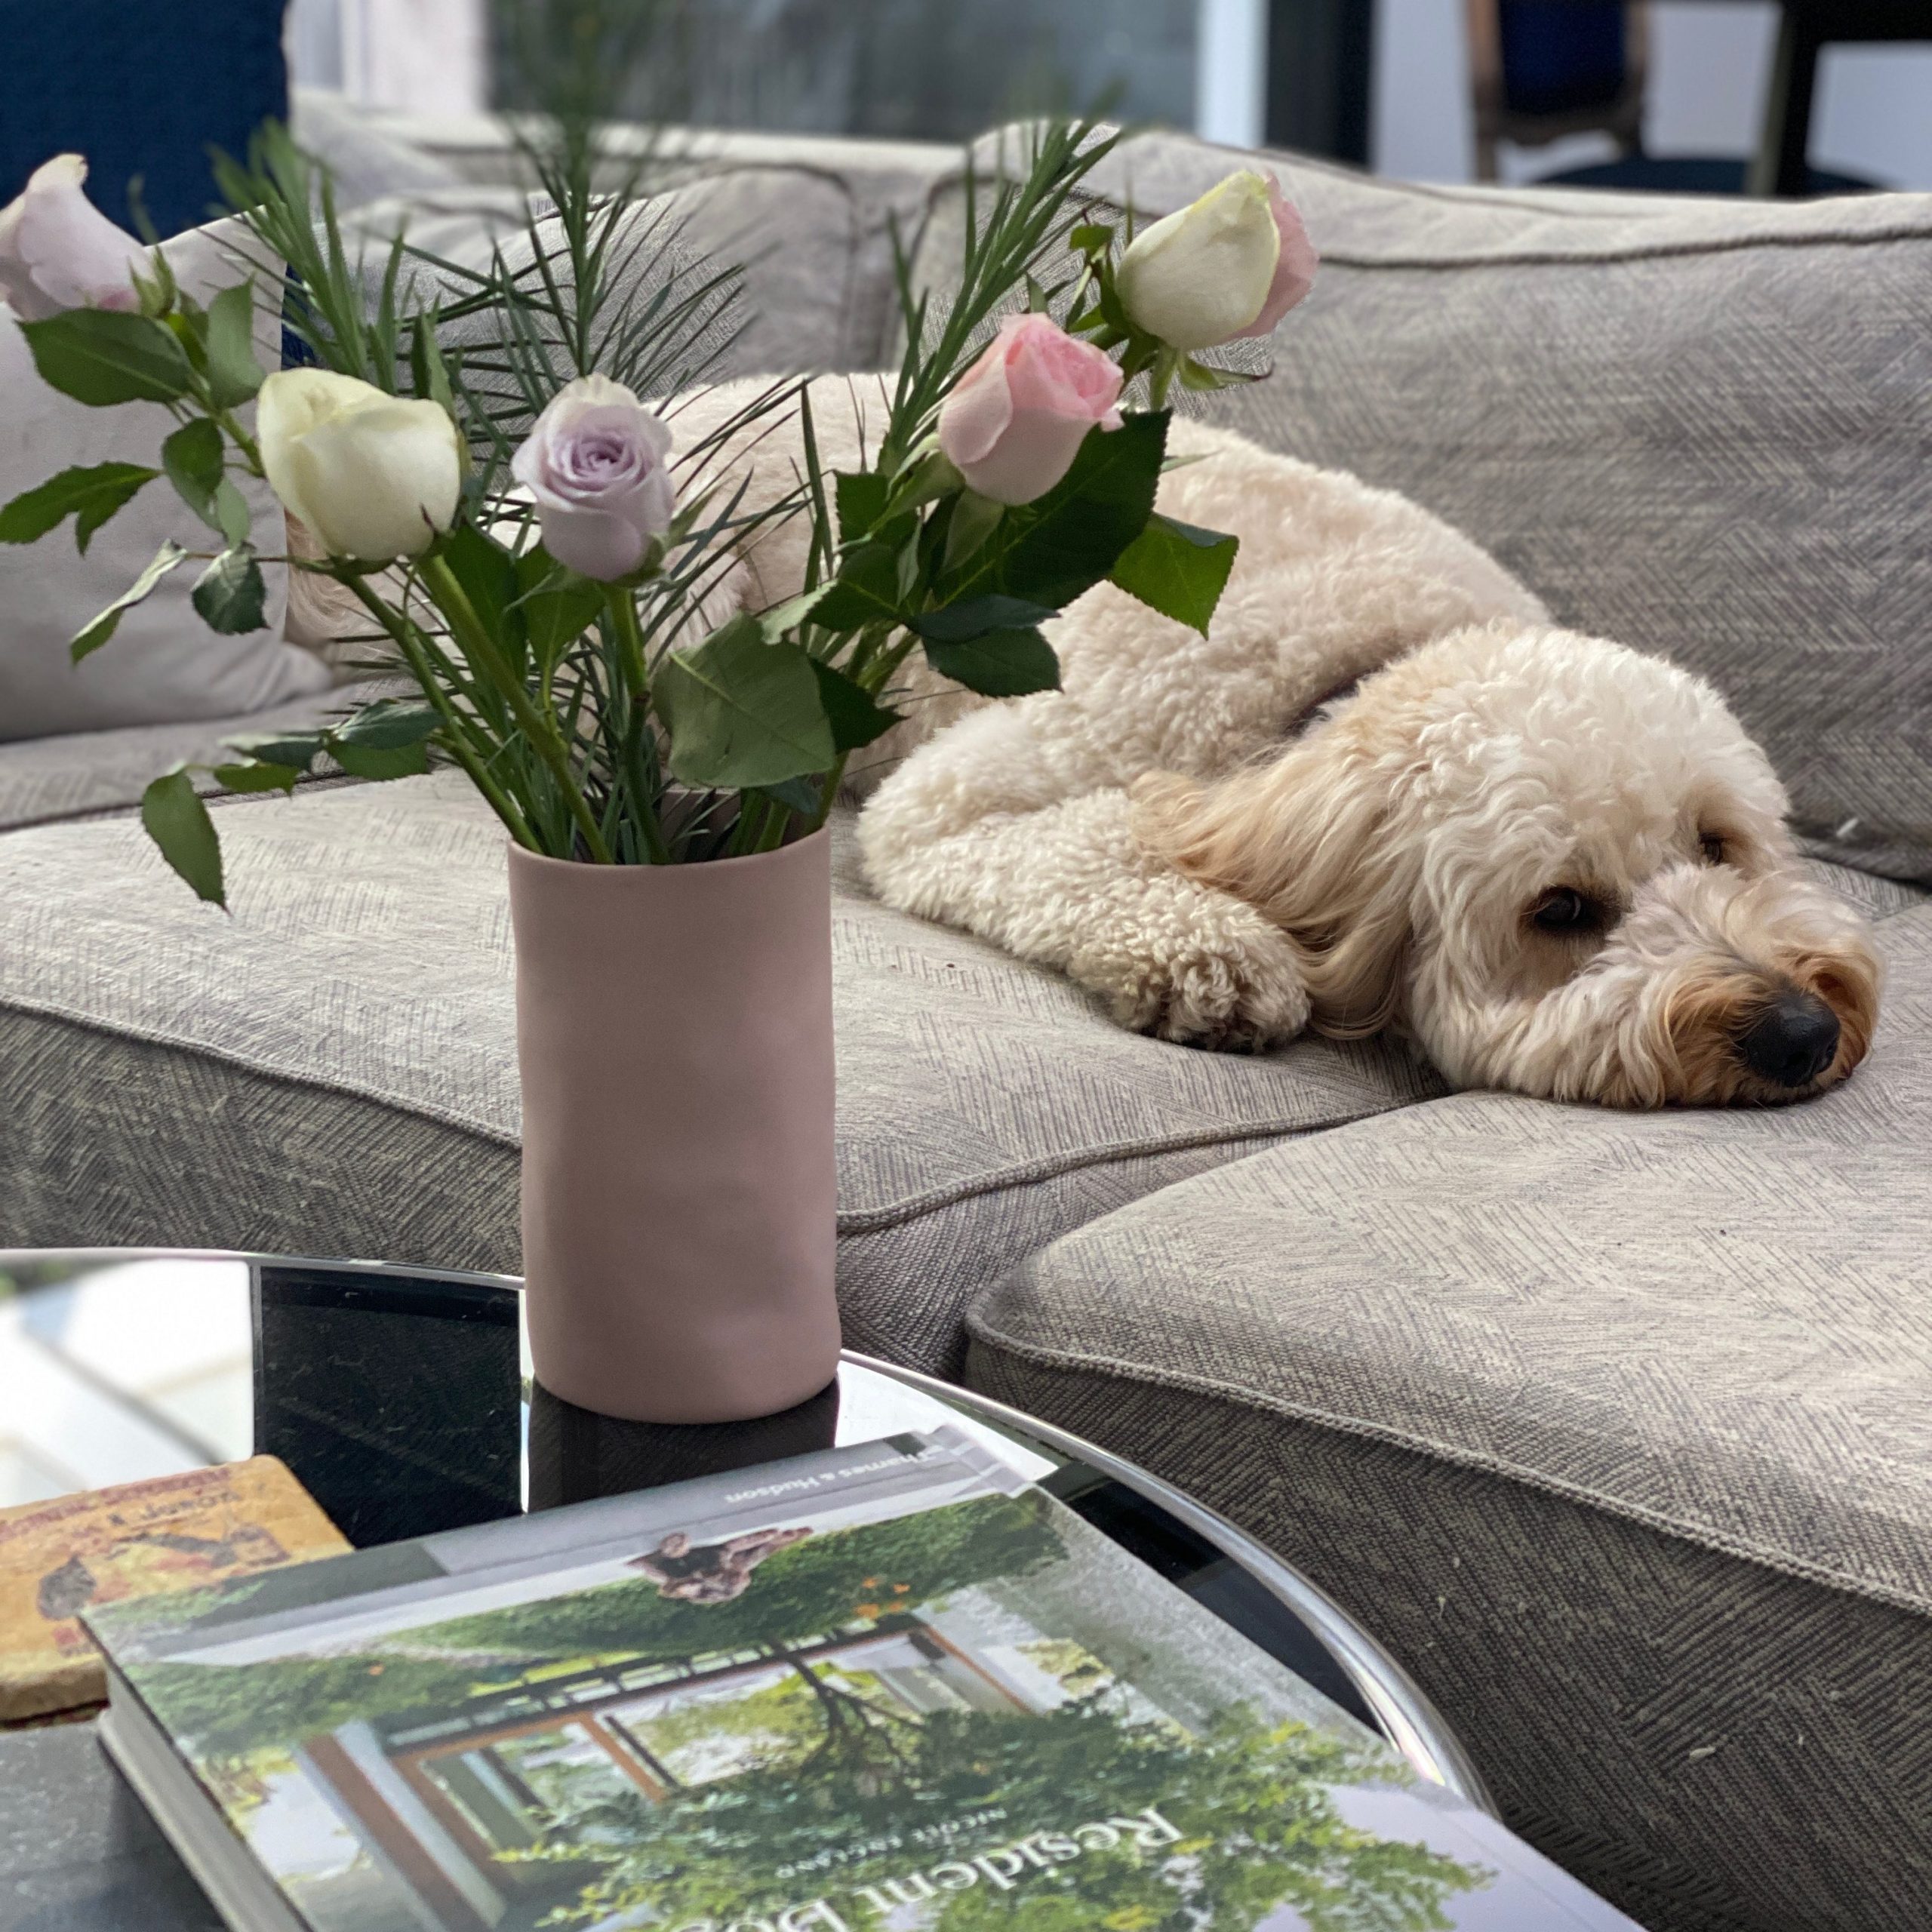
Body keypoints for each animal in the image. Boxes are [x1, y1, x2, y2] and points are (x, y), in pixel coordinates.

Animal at [657, 377, 1878, 1112]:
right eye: (1562, 911)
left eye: (1718, 843)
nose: (1802, 1032)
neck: (1354, 672)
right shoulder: (956, 798)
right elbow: (1081, 841)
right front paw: (1217, 957)